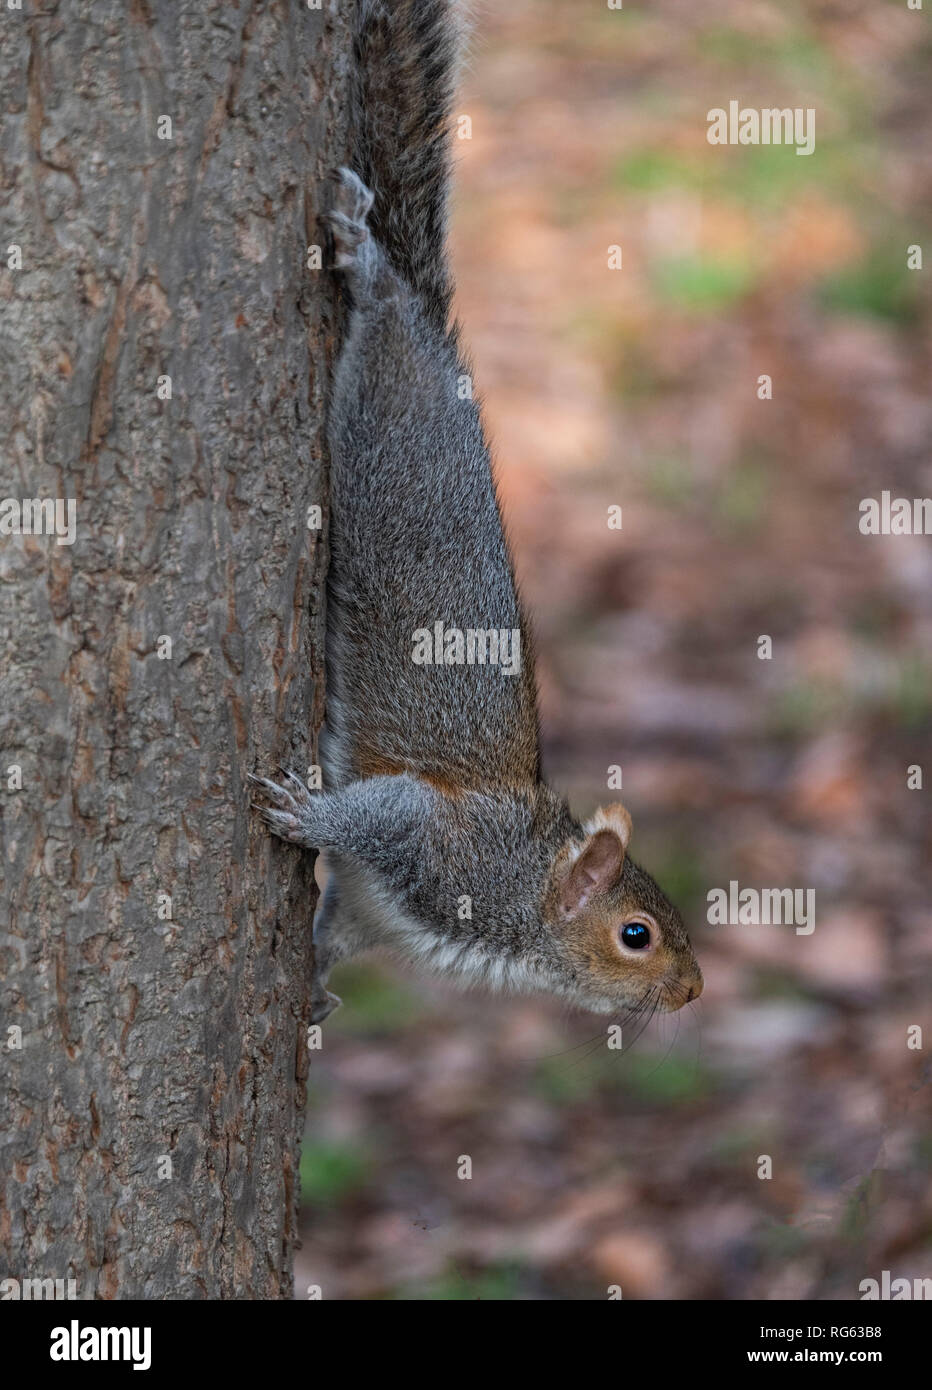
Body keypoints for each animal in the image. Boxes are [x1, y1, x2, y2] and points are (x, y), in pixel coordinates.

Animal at [252, 0, 703, 1025]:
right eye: (637, 934)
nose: (696, 990)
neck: (522, 903)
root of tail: (436, 329)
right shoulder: (438, 843)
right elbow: (376, 814)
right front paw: (303, 812)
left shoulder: (376, 906)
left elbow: (337, 924)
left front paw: (318, 988)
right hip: (388, 418)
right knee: (384, 308)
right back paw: (367, 252)